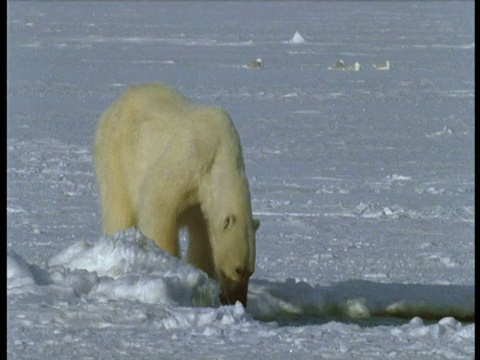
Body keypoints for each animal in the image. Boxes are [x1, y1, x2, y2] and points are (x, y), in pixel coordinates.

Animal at [94, 82, 258, 306]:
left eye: (250, 272)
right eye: (238, 270)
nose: (237, 301)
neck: (221, 150)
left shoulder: (202, 201)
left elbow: (203, 236)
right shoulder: (190, 160)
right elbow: (159, 203)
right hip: (116, 156)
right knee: (119, 207)